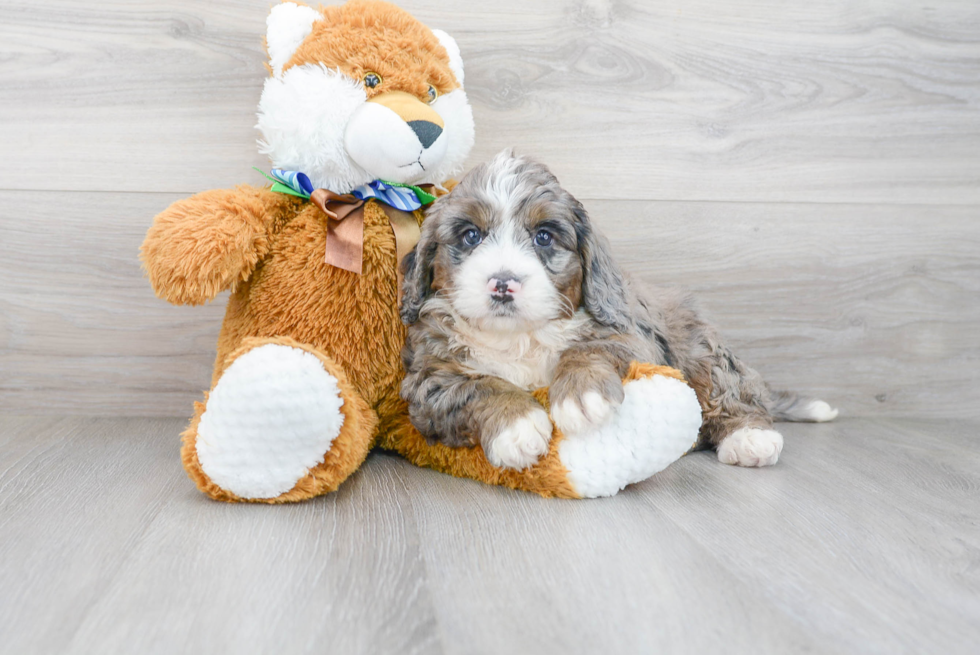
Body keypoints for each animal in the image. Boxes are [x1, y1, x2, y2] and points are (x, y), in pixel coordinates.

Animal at [398, 151, 836, 472]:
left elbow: (590, 348)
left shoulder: (633, 338)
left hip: (700, 347)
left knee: (730, 391)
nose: (503, 282)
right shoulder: (428, 378)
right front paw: (517, 427)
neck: (520, 335)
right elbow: (475, 386)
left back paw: (749, 438)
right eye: (471, 236)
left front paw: (580, 394)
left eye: (544, 237)